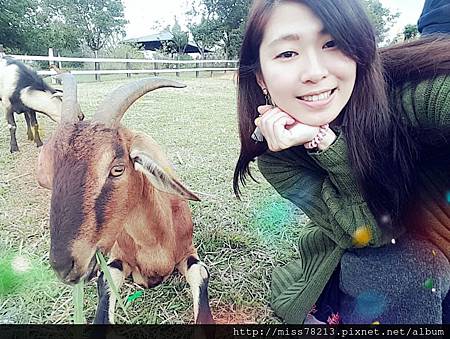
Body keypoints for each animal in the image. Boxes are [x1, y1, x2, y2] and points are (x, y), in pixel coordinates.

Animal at [37, 74, 214, 324]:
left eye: (117, 169)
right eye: (53, 172)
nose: (63, 266)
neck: (154, 244)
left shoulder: (189, 252)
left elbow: (200, 273)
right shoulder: (116, 260)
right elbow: (106, 282)